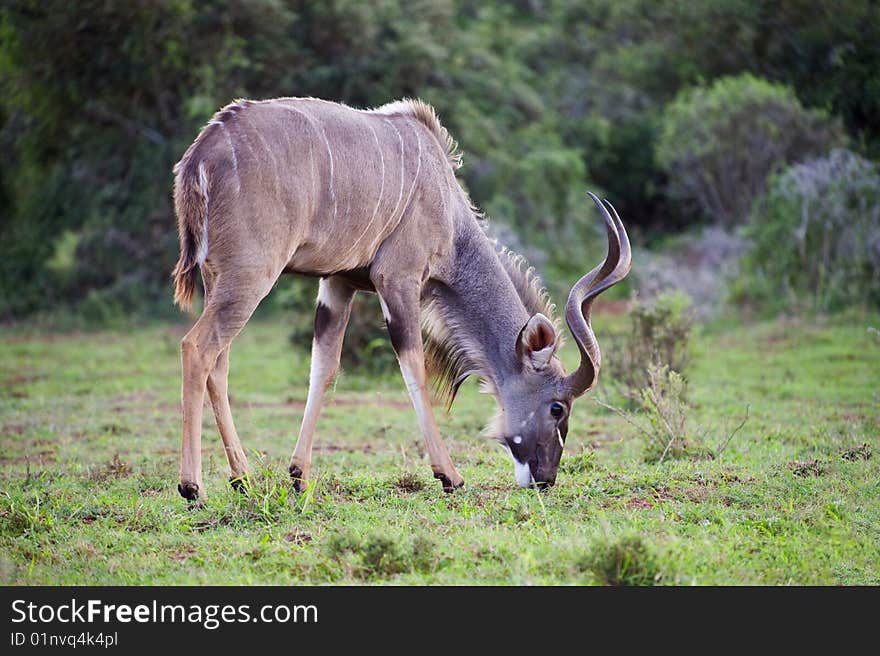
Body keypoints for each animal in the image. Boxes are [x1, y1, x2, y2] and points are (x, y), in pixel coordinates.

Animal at [168, 96, 628, 502]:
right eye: (557, 408)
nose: (545, 479)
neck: (448, 209)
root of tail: (200, 153)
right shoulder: (398, 279)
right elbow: (414, 369)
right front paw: (449, 476)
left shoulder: (338, 283)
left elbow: (324, 368)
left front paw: (298, 476)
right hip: (251, 276)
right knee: (196, 346)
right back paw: (193, 488)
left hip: (221, 279)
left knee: (219, 364)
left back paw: (242, 478)